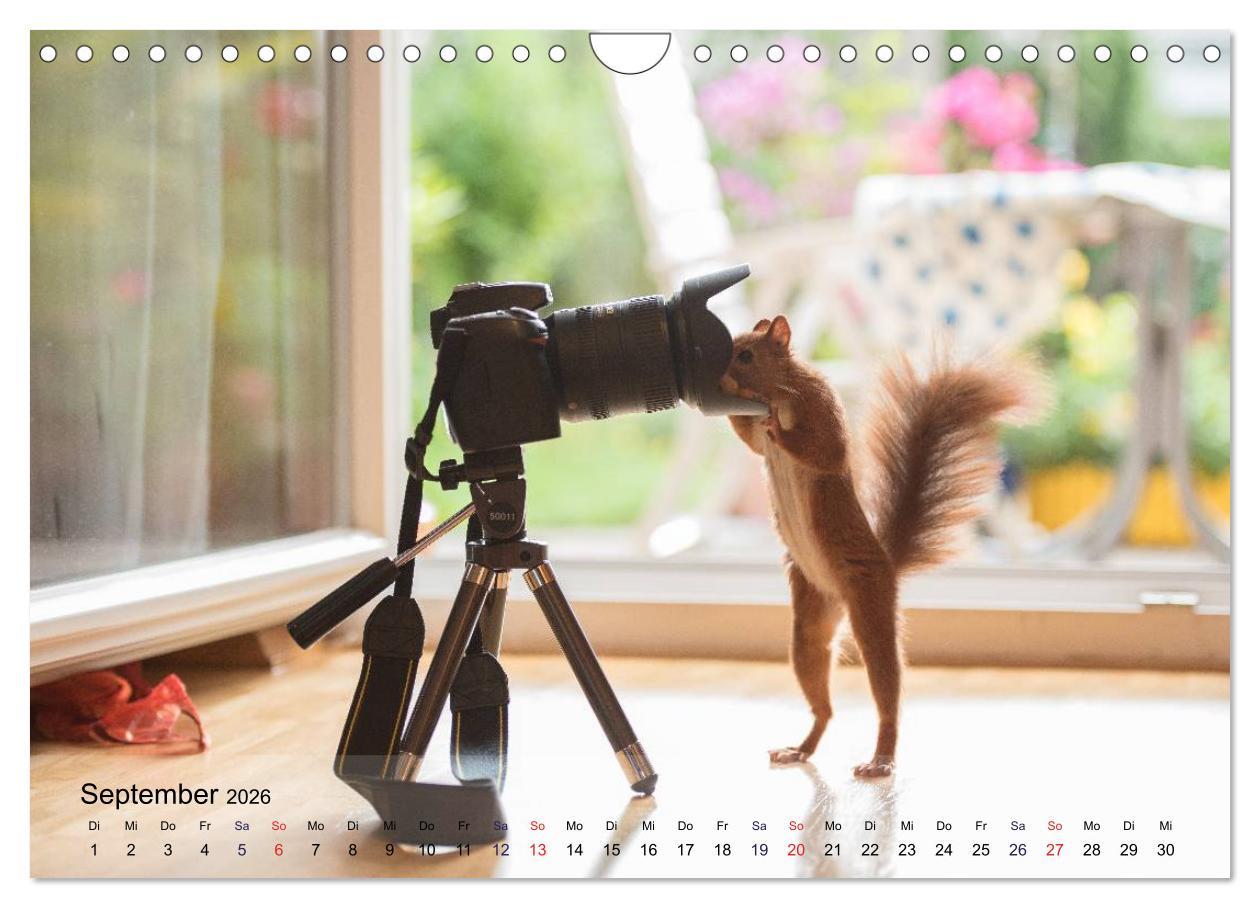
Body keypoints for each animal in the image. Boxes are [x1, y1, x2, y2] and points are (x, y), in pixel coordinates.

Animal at [721, 315, 1041, 778]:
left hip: (869, 599)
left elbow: (826, 450)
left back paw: (881, 758)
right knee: (822, 701)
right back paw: (801, 747)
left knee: (885, 689)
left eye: (746, 354)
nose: (717, 368)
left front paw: (777, 427)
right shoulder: (755, 435)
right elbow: (749, 438)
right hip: (810, 619)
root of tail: (884, 563)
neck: (775, 391)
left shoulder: (819, 405)